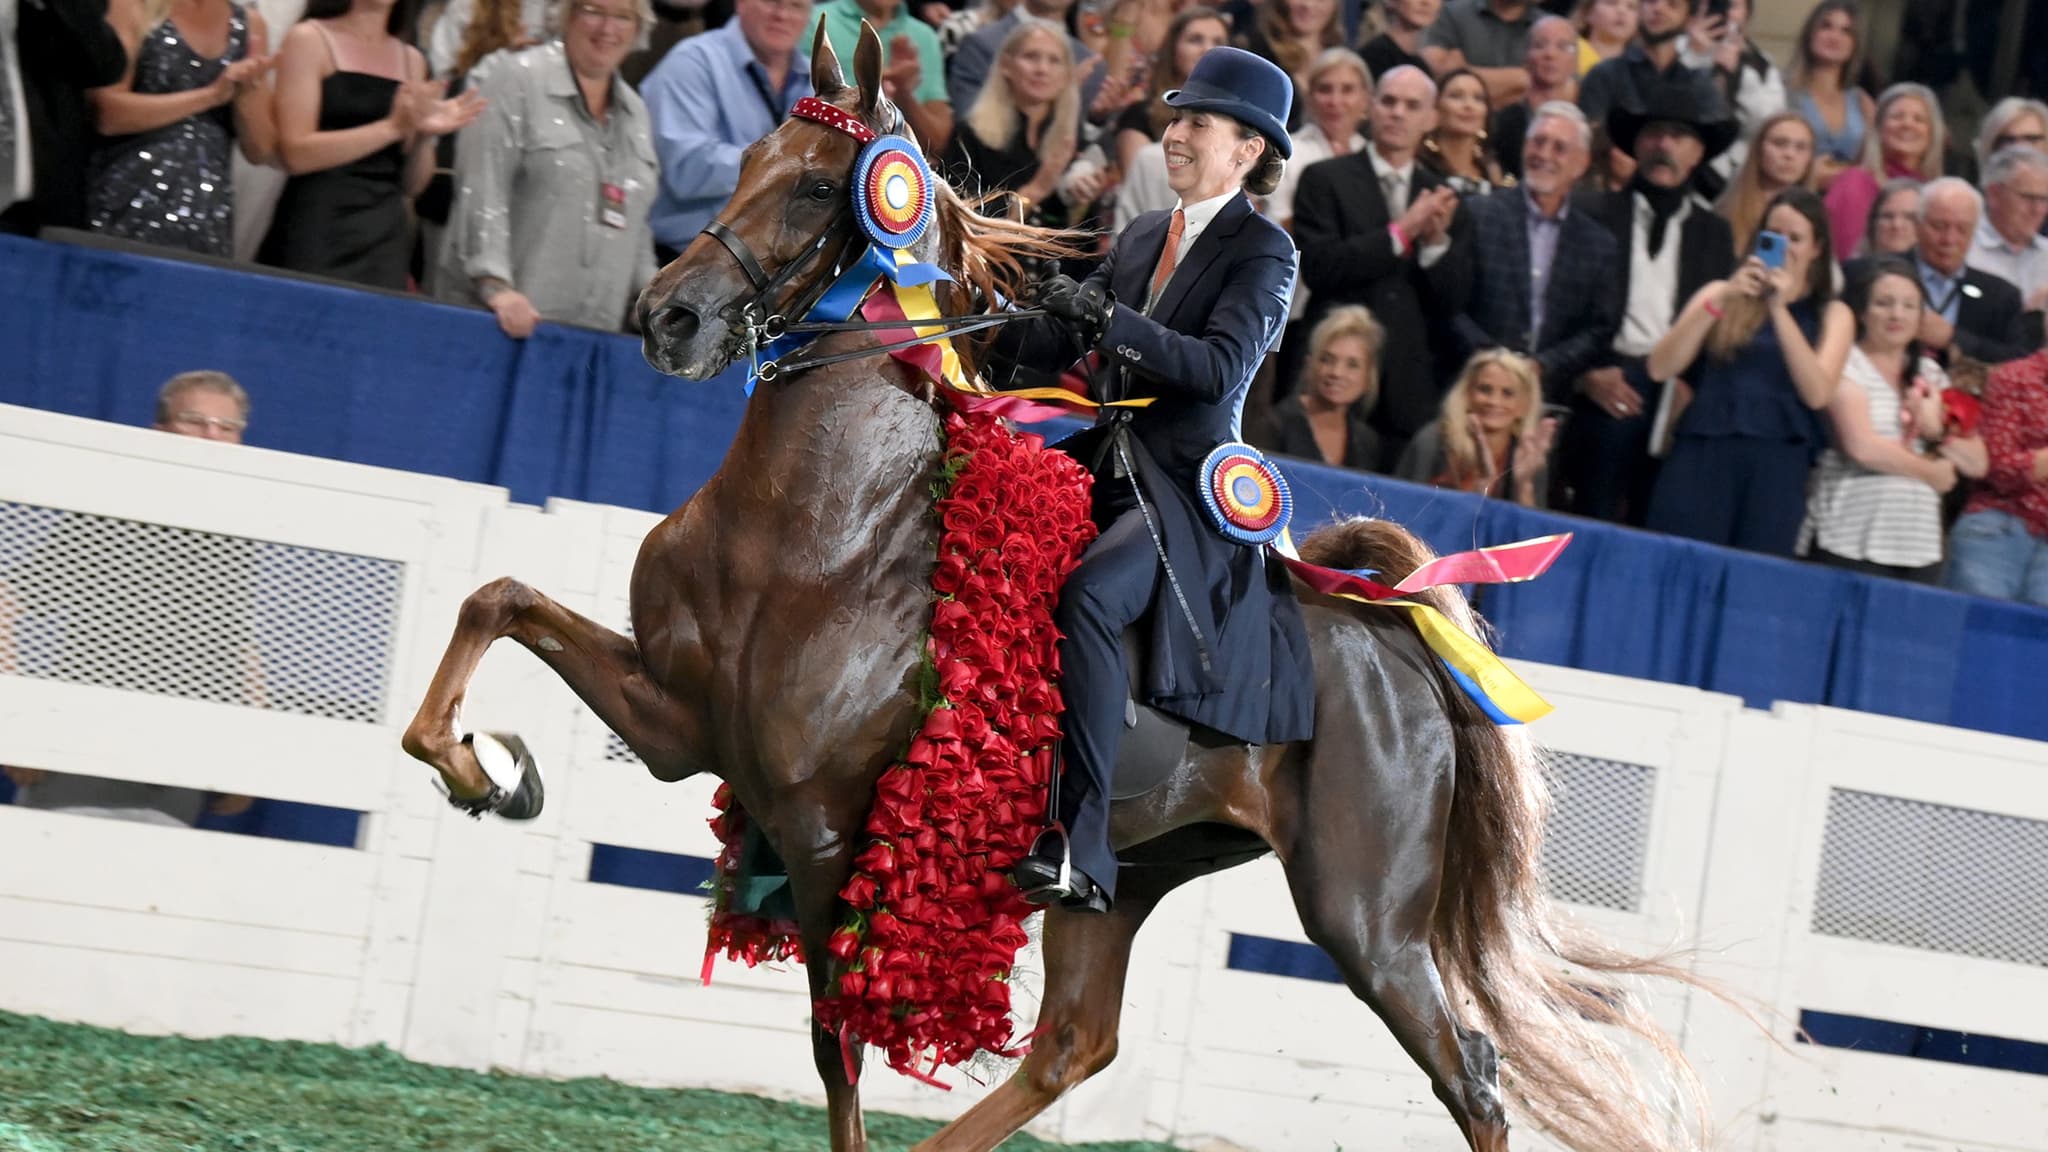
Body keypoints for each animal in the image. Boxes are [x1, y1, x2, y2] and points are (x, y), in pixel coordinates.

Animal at [400, 21, 1709, 1152]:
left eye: (822, 189)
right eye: (746, 158)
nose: (667, 316)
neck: (814, 529)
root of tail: (1388, 638)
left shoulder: (819, 824)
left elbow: (836, 1050)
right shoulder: (681, 727)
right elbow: (495, 600)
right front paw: (485, 770)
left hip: (1363, 914)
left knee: (1471, 1077)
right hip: (1122, 874)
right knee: (1074, 1043)